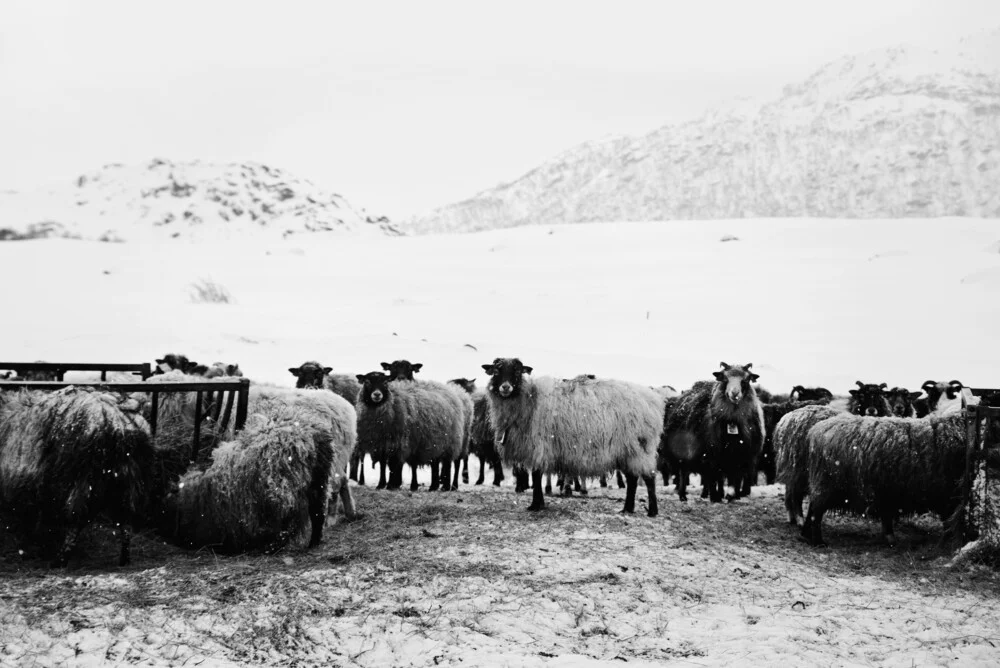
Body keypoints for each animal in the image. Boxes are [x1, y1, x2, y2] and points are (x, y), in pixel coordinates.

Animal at [0, 388, 154, 568]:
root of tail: (119, 424)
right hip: (128, 481)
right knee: (125, 521)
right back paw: (124, 558)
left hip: (79, 480)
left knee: (76, 521)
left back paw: (60, 560)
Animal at [664, 362, 764, 504]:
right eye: (725, 379)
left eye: (745, 380)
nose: (734, 393)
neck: (732, 420)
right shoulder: (710, 453)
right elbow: (712, 477)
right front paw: (715, 497)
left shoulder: (740, 454)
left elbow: (734, 478)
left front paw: (731, 496)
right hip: (683, 452)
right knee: (684, 473)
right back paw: (683, 495)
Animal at [796, 412, 968, 548]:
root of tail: (815, 431)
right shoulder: (947, 497)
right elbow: (948, 522)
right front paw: (947, 542)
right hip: (827, 483)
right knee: (816, 512)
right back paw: (818, 542)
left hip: (821, 483)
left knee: (812, 507)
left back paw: (805, 536)